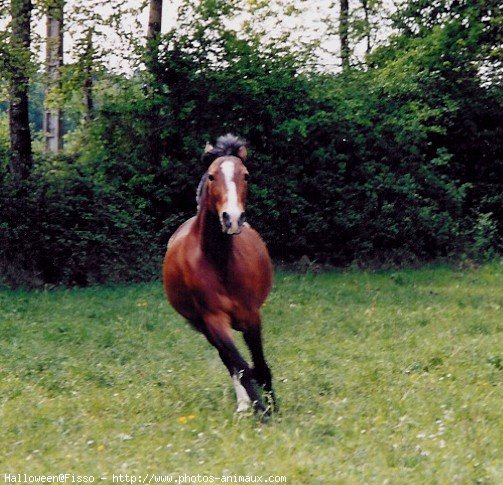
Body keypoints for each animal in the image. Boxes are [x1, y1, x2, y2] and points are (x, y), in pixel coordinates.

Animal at [163, 133, 278, 416]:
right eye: (212, 176)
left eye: (246, 175)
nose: (232, 218)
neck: (220, 263)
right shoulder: (214, 320)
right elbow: (242, 367)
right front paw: (261, 411)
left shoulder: (251, 316)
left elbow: (259, 364)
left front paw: (273, 406)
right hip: (203, 326)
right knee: (229, 362)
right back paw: (243, 404)